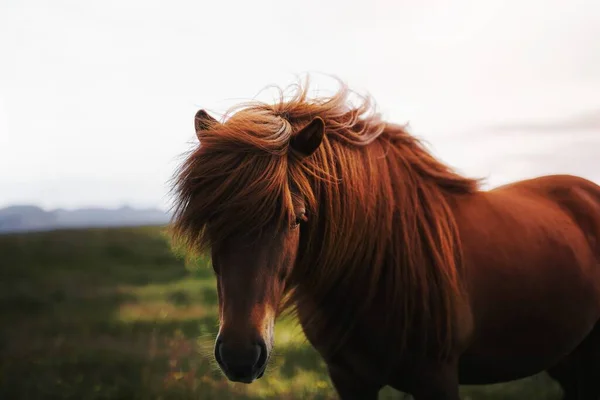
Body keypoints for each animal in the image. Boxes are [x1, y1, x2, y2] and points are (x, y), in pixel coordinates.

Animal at [169, 82, 600, 400]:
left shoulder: (438, 379)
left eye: (297, 218)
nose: (241, 356)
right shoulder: (348, 378)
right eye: (211, 221)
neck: (374, 272)